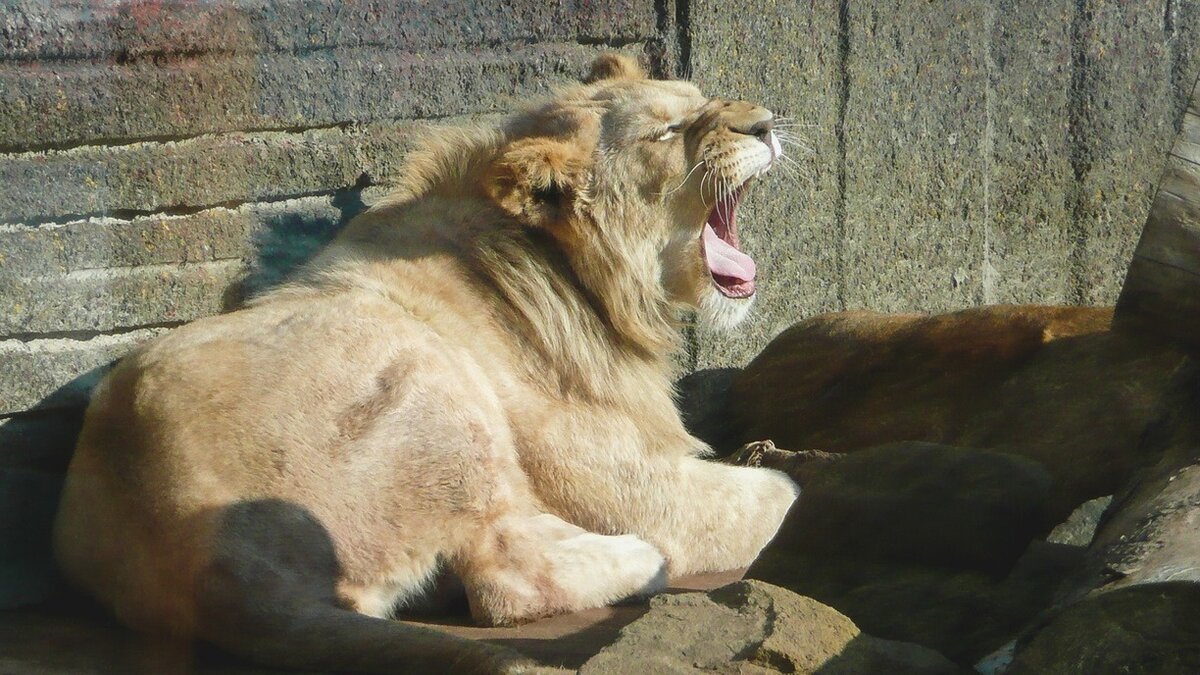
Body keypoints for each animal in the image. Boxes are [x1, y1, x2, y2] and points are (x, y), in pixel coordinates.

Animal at [51, 55, 801, 667]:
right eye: (666, 132)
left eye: (699, 98)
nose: (766, 123)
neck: (584, 278)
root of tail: (209, 569)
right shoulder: (636, 487)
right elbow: (770, 498)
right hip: (427, 368)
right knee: (505, 579)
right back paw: (639, 560)